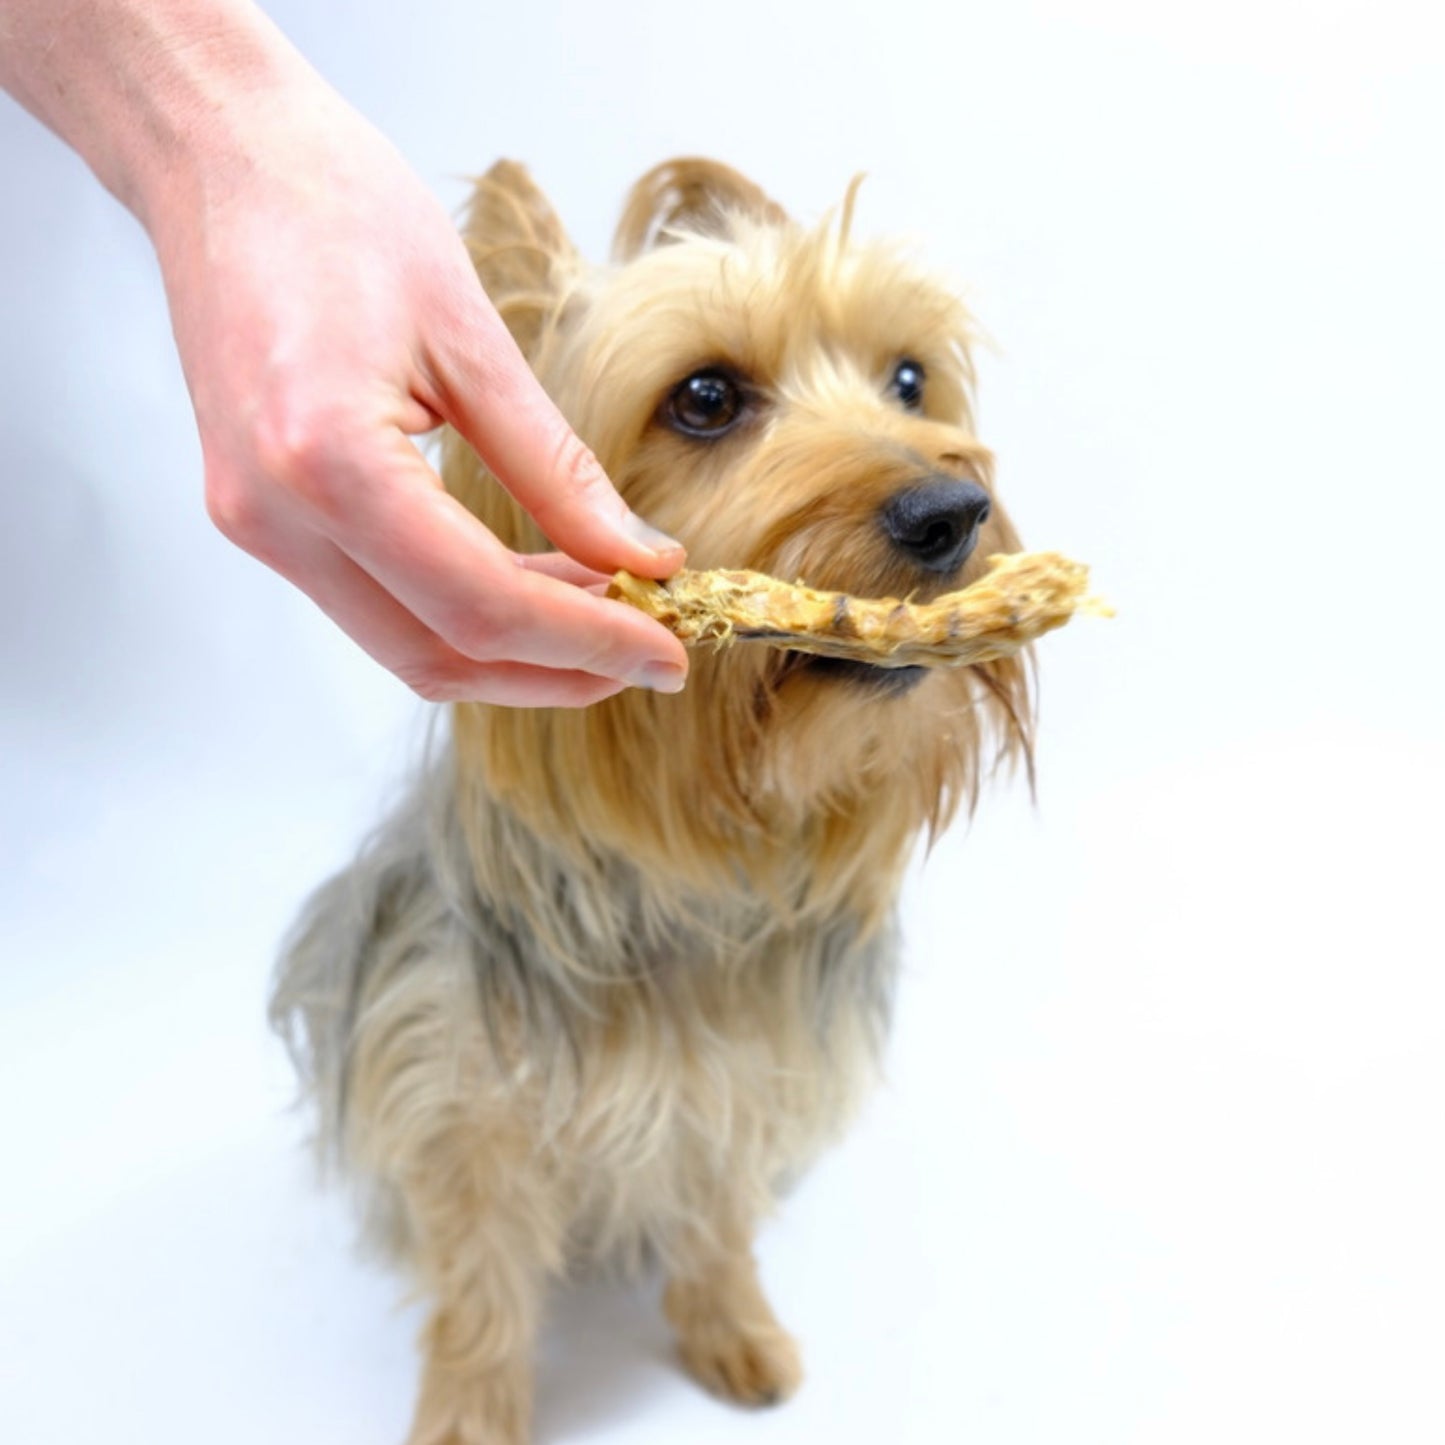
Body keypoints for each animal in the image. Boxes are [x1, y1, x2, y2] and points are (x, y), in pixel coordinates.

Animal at [271, 158, 1034, 1445]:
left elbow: (714, 1220)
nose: (950, 511)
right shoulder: (460, 1097)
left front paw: (734, 1332)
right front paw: (470, 1410)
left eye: (908, 377)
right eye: (706, 397)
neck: (690, 878)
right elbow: (479, 1276)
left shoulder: (742, 1078)